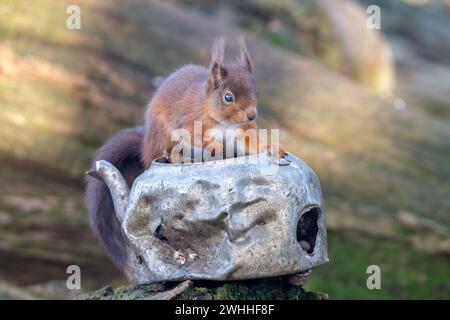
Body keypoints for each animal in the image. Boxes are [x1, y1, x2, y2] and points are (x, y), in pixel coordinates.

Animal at [85, 37, 284, 276]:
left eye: (255, 91)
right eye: (228, 97)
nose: (251, 114)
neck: (222, 121)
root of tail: (146, 144)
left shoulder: (243, 131)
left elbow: (252, 143)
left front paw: (273, 146)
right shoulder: (190, 123)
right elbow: (198, 138)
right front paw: (216, 146)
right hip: (161, 138)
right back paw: (172, 156)